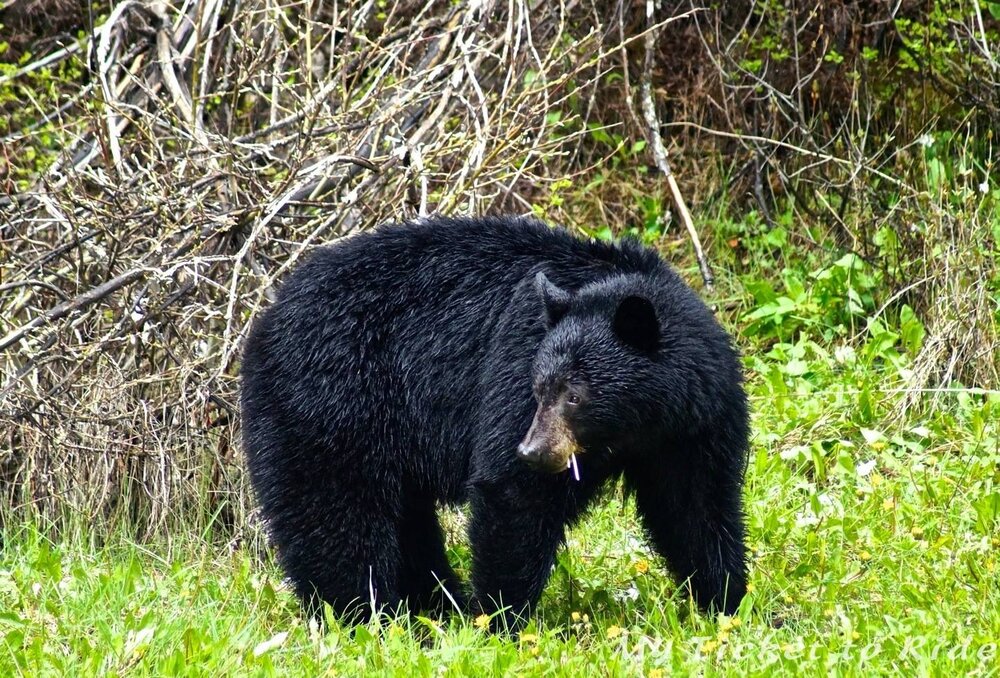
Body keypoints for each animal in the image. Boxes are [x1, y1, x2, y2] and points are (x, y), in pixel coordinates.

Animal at [238, 216, 748, 632]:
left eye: (575, 395)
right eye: (539, 389)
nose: (534, 450)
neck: (639, 425)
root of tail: (264, 320)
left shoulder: (695, 426)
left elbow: (695, 507)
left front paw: (727, 604)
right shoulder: (517, 354)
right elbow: (512, 492)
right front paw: (499, 621)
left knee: (406, 522)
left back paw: (433, 607)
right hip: (333, 403)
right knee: (337, 516)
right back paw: (365, 617)